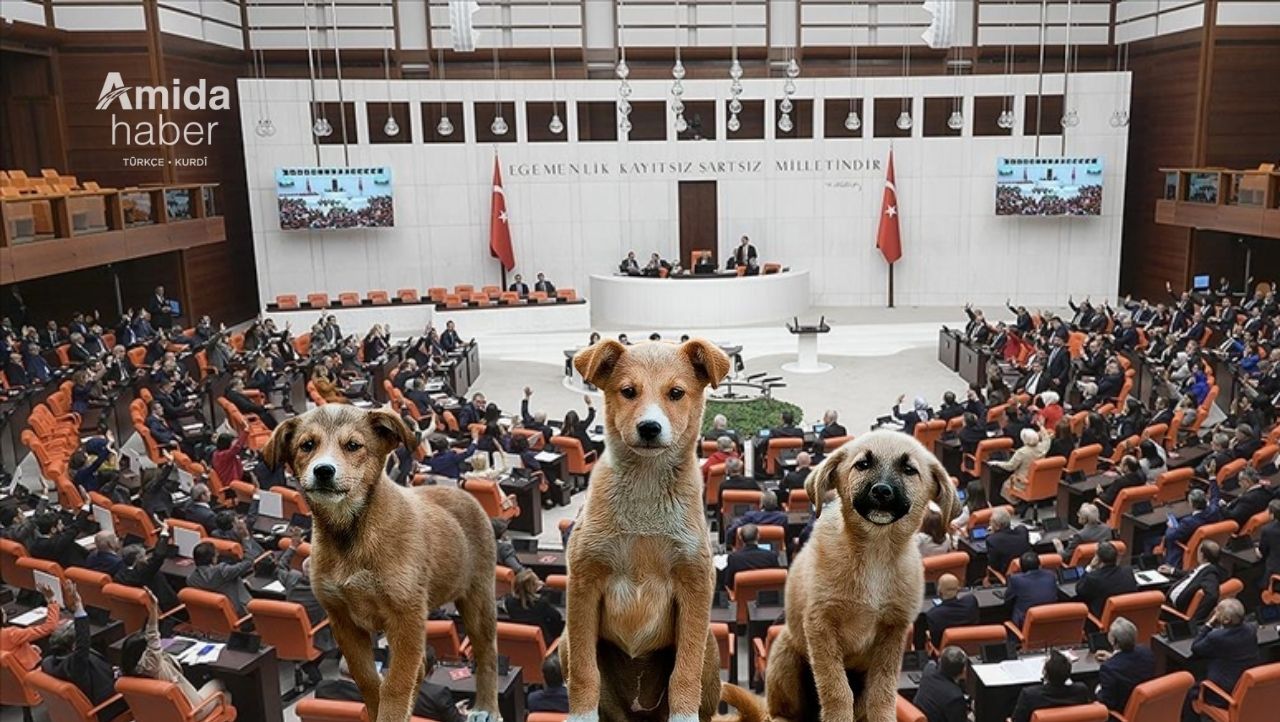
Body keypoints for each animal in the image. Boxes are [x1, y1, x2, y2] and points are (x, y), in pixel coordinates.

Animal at [560, 337, 732, 722]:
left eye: (676, 393)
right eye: (628, 391)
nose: (649, 428)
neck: (645, 486)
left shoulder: (695, 582)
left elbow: (684, 671)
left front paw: (684, 716)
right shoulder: (584, 580)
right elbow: (584, 671)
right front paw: (581, 715)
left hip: (711, 646)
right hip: (565, 643)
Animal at [762, 432, 957, 716]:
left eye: (909, 470)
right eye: (862, 465)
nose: (882, 491)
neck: (875, 551)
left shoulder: (893, 631)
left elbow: (882, 691)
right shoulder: (820, 625)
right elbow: (836, 688)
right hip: (786, 654)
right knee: (782, 709)